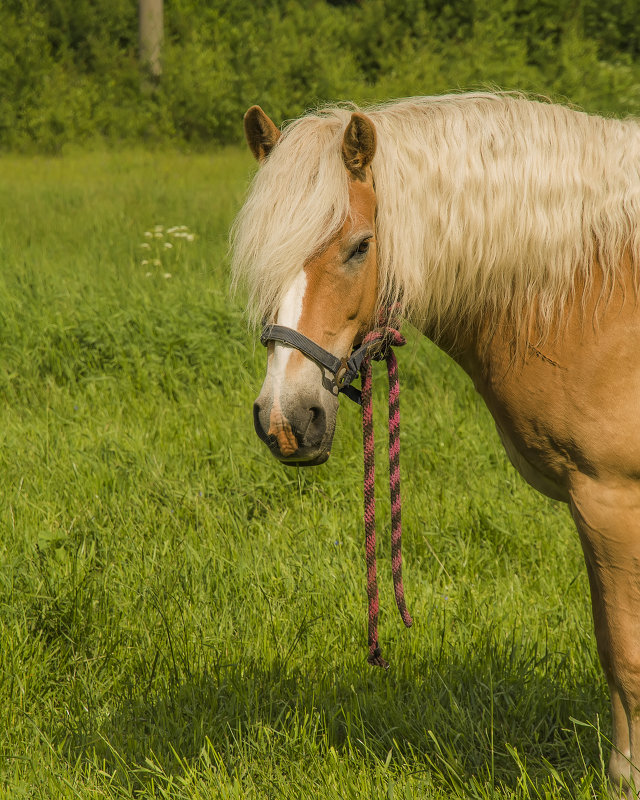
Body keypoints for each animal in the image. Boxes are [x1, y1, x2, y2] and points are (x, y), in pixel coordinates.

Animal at [232, 92, 640, 792]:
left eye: (360, 247)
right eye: (265, 250)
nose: (285, 419)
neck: (592, 292)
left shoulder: (613, 500)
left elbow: (626, 653)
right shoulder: (597, 508)